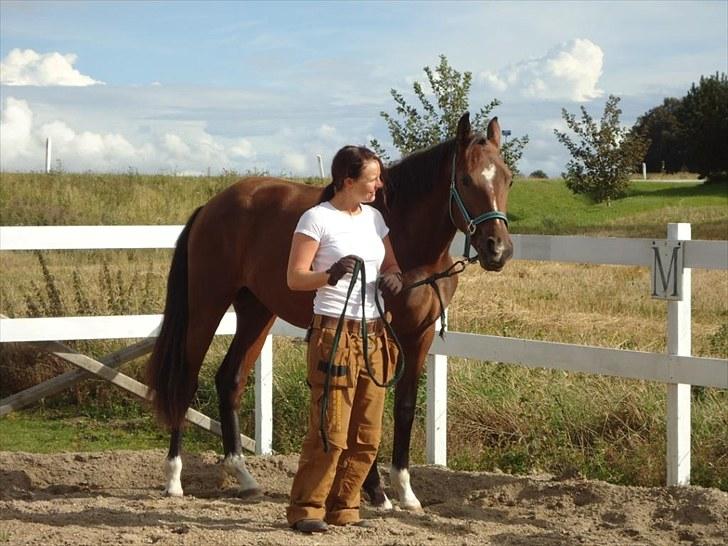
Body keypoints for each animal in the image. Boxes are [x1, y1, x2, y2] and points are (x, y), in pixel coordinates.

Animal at [146, 112, 512, 508]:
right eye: (466, 179)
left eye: (508, 177)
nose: (498, 249)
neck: (409, 245)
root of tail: (212, 207)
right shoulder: (378, 331)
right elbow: (366, 407)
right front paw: (376, 491)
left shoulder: (420, 336)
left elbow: (404, 407)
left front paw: (405, 491)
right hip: (207, 304)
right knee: (185, 379)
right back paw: (174, 478)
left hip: (257, 311)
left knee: (230, 380)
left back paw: (243, 476)